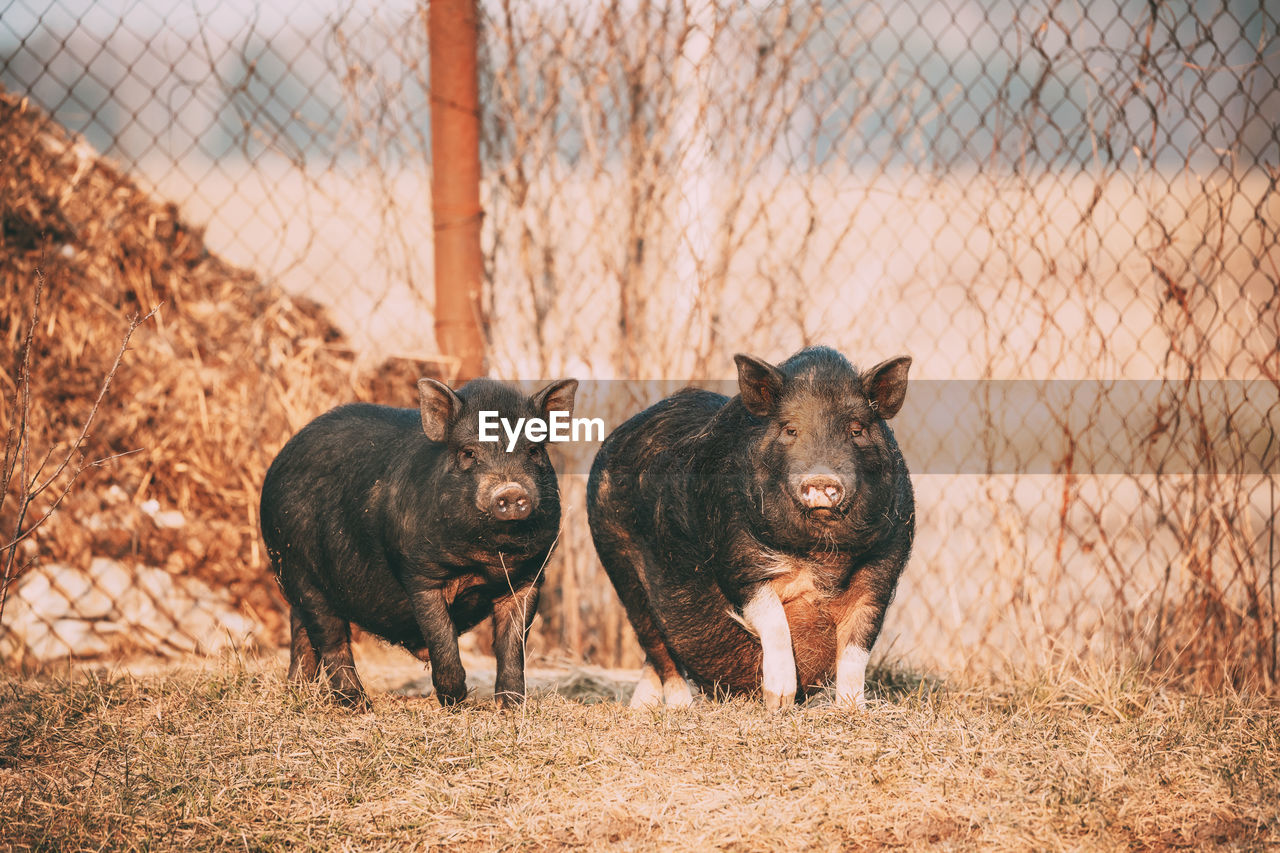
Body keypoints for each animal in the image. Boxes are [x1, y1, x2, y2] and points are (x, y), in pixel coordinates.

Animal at [259, 376, 576, 701]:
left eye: (534, 450)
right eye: (468, 453)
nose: (511, 491)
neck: (488, 559)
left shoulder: (529, 579)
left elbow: (512, 646)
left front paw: (510, 704)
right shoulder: (421, 575)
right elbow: (441, 636)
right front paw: (456, 700)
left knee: (301, 629)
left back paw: (297, 690)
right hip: (296, 569)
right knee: (331, 638)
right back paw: (358, 703)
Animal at [586, 345, 916, 712]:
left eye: (856, 429)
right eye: (790, 429)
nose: (821, 481)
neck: (820, 556)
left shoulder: (882, 572)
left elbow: (858, 648)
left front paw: (853, 710)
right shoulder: (736, 558)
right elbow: (773, 620)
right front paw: (779, 701)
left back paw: (642, 709)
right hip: (620, 565)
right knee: (658, 648)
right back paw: (682, 707)